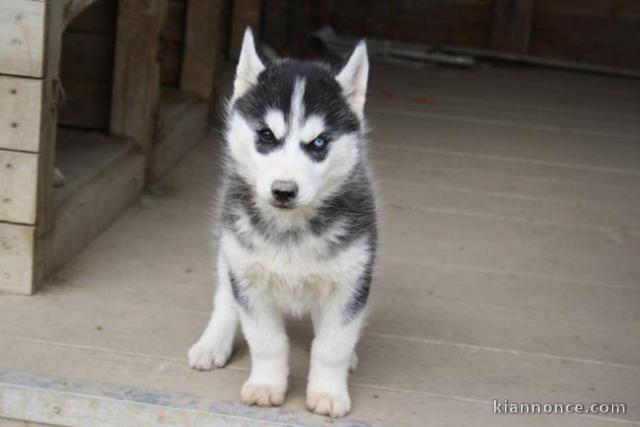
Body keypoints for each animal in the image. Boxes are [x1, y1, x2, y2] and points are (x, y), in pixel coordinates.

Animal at [188, 29, 378, 418]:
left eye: (319, 142)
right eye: (265, 135)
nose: (284, 191)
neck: (291, 228)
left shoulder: (350, 280)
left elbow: (332, 344)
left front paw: (328, 392)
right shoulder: (248, 276)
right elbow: (267, 340)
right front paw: (266, 385)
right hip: (229, 249)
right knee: (225, 295)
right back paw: (213, 342)